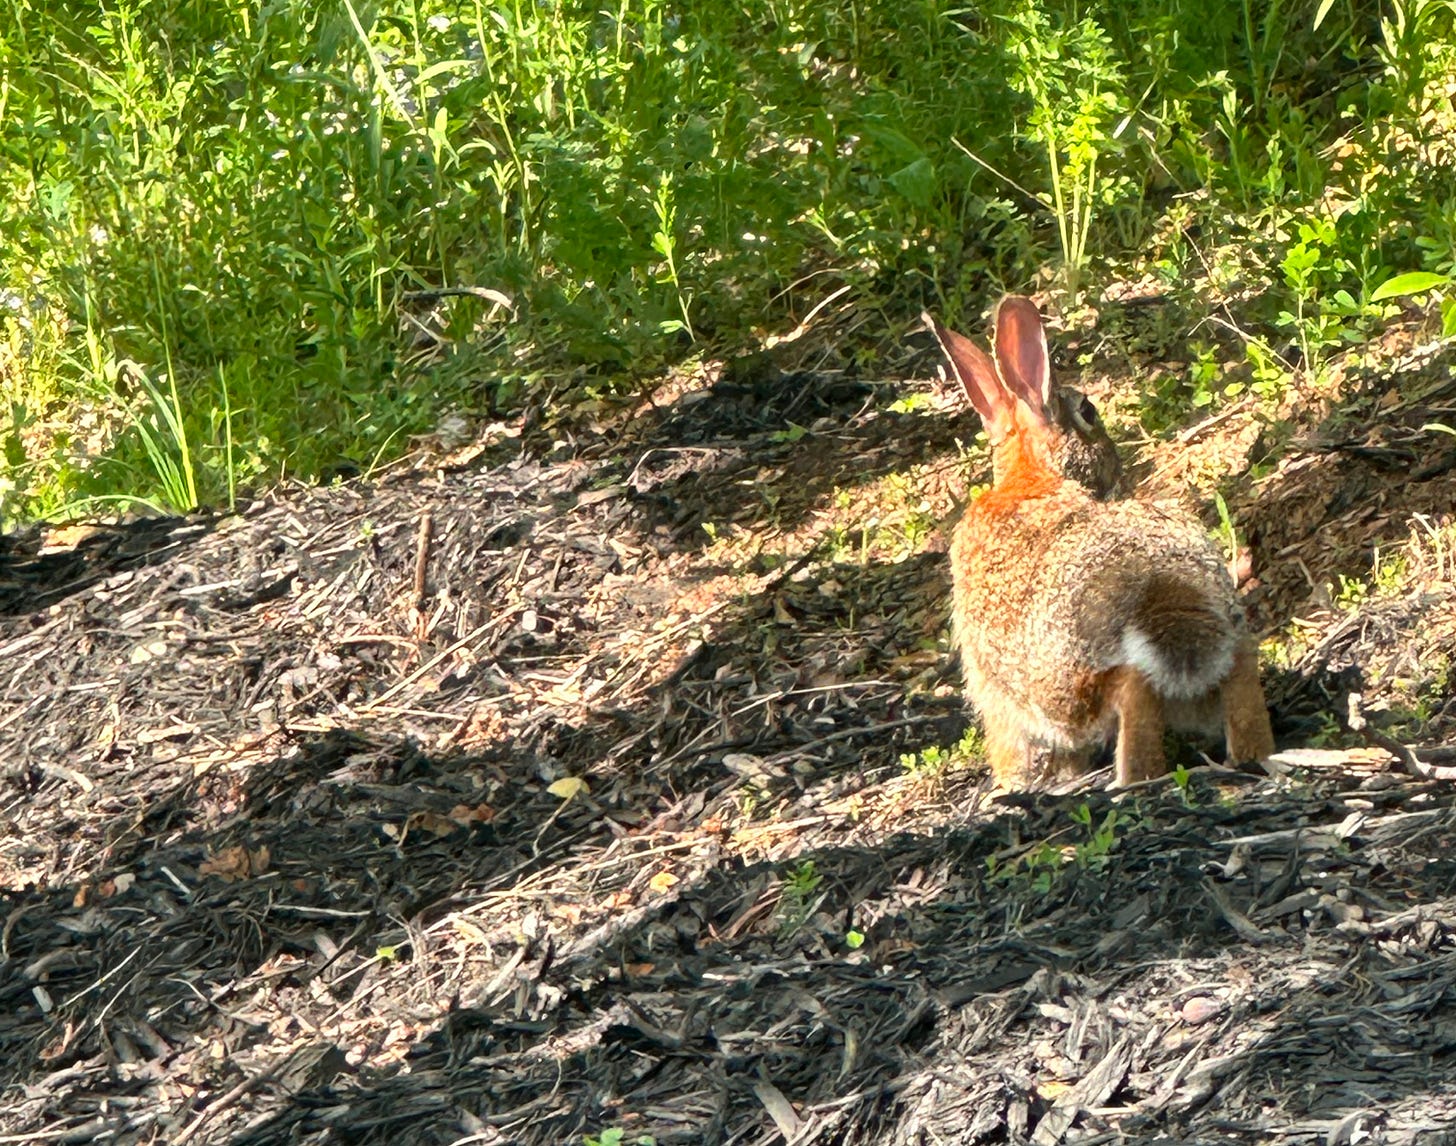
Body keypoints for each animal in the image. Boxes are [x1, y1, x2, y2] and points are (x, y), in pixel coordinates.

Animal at [927, 296, 1275, 789]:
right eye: (1089, 411)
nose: (1116, 462)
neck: (1031, 475)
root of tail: (1160, 591)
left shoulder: (993, 690)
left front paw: (1009, 785)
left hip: (1065, 689)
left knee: (1128, 692)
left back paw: (1132, 778)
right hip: (1222, 636)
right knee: (1240, 663)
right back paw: (1255, 754)